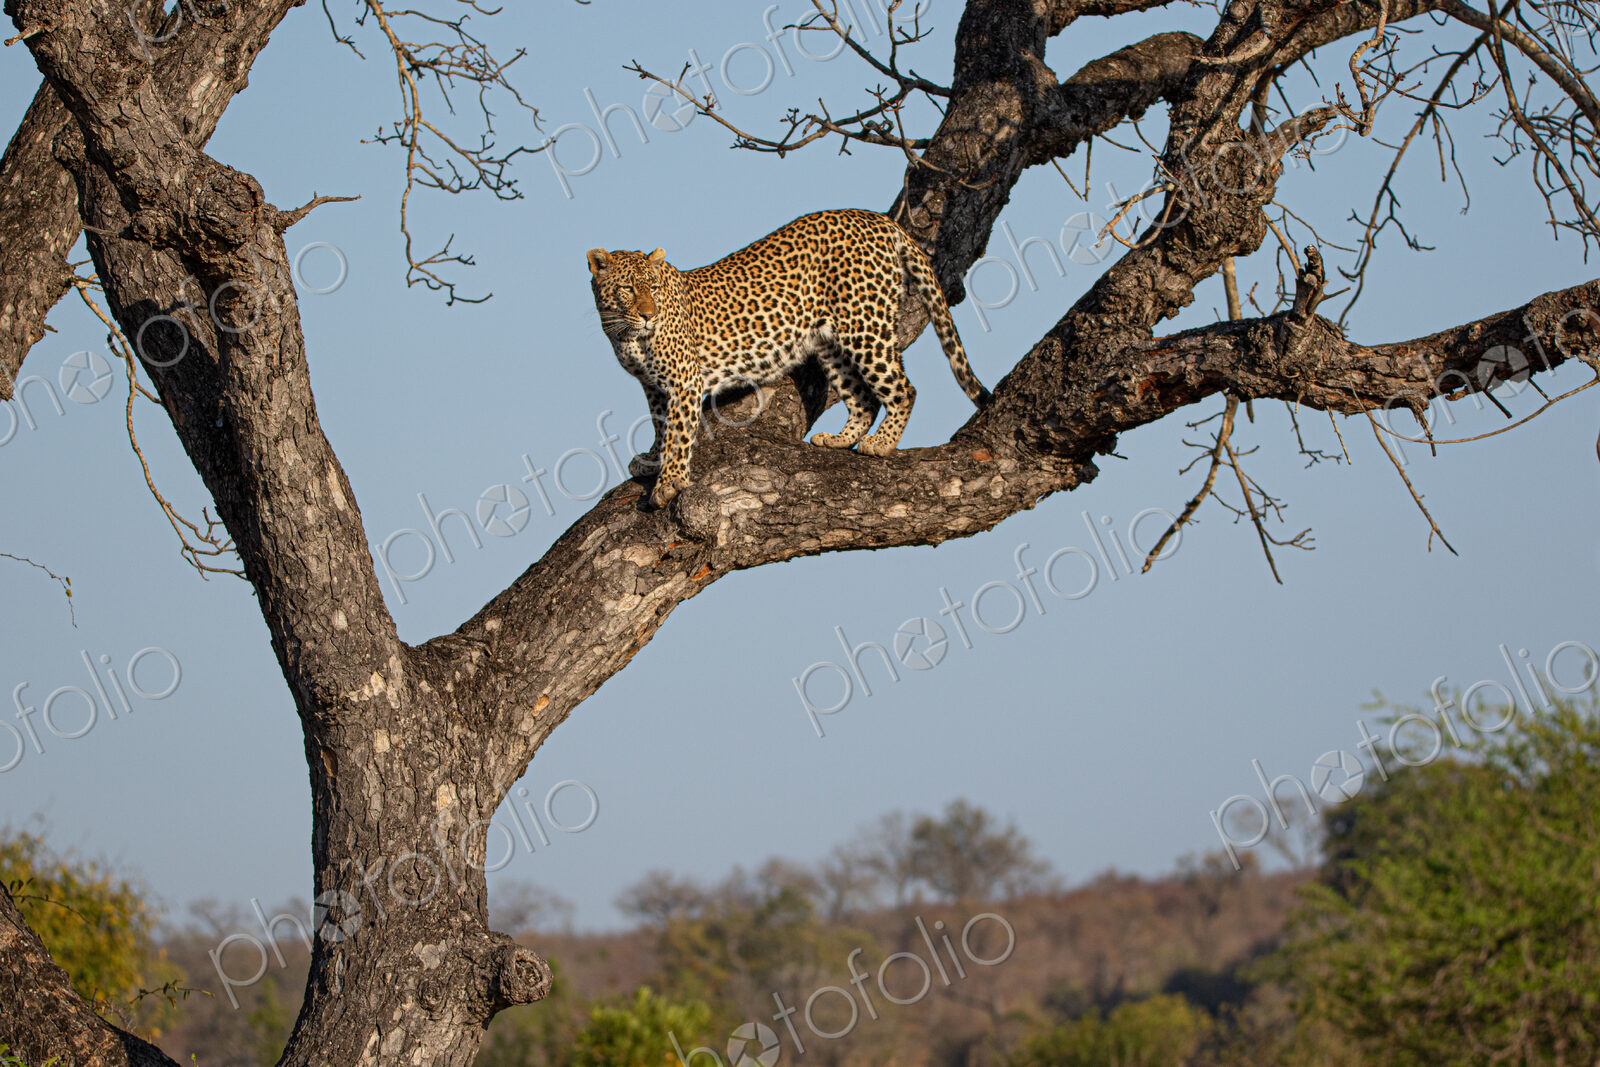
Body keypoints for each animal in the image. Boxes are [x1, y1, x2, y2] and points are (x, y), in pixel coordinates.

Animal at [587, 208, 992, 508]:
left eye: (653, 289)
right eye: (627, 289)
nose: (648, 315)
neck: (624, 333)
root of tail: (876, 218)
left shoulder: (685, 380)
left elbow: (678, 432)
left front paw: (669, 481)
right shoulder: (654, 386)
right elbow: (659, 425)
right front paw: (651, 460)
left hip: (863, 325)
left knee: (903, 388)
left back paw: (882, 442)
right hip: (830, 343)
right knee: (863, 397)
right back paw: (840, 439)